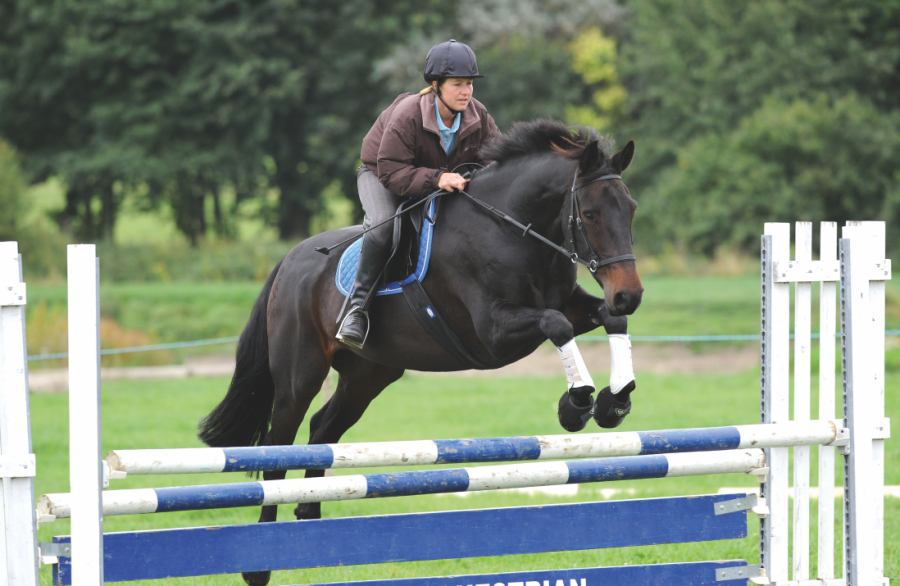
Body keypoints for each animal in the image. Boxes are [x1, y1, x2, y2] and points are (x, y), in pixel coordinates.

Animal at [200, 118, 644, 584]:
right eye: (590, 214)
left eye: (630, 209)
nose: (629, 295)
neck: (514, 228)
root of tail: (289, 260)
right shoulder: (494, 331)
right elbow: (556, 325)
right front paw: (576, 404)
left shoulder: (570, 303)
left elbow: (609, 321)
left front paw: (614, 400)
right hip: (298, 375)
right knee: (277, 448)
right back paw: (261, 561)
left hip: (369, 375)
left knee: (322, 430)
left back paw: (310, 517)